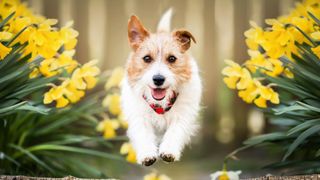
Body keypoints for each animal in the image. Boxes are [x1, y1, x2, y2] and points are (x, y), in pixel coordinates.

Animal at [121, 8, 201, 166]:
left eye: (172, 58)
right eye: (146, 58)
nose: (158, 79)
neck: (160, 105)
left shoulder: (182, 115)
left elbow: (175, 131)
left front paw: (169, 151)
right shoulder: (139, 116)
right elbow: (143, 133)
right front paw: (147, 154)